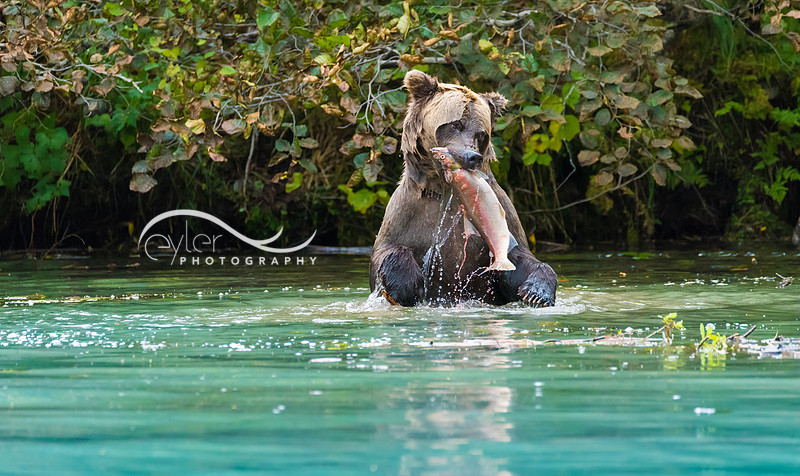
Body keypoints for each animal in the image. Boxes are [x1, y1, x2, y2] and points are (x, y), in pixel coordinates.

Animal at [369, 70, 558, 307]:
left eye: (481, 134)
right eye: (455, 124)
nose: (472, 156)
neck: (447, 187)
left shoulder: (503, 214)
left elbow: (520, 259)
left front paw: (537, 292)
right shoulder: (407, 212)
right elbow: (386, 251)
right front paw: (406, 286)